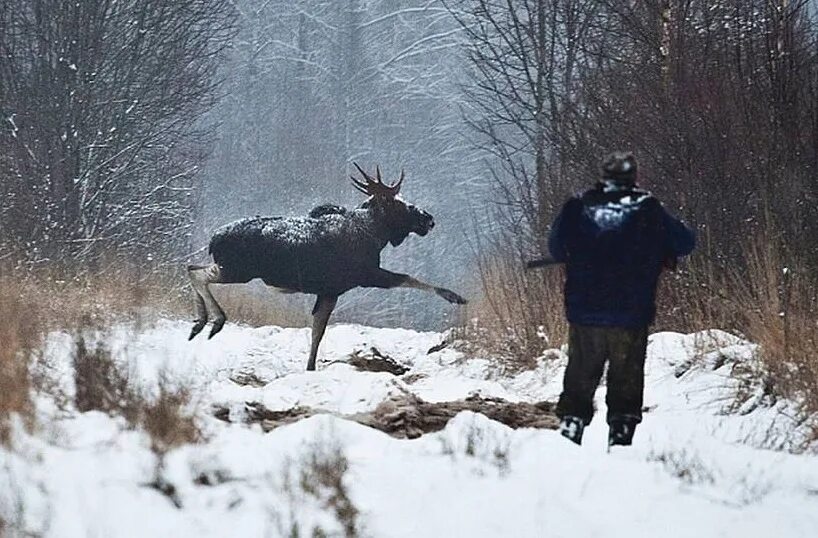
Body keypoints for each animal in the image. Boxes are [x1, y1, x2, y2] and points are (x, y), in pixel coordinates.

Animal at [186, 163, 466, 370]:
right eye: (397, 203)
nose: (428, 219)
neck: (374, 236)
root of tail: (214, 239)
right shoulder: (364, 276)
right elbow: (409, 277)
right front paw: (454, 296)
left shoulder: (330, 291)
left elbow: (317, 331)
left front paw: (310, 367)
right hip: (237, 270)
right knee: (198, 274)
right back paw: (215, 321)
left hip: (228, 267)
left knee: (191, 267)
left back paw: (199, 323)